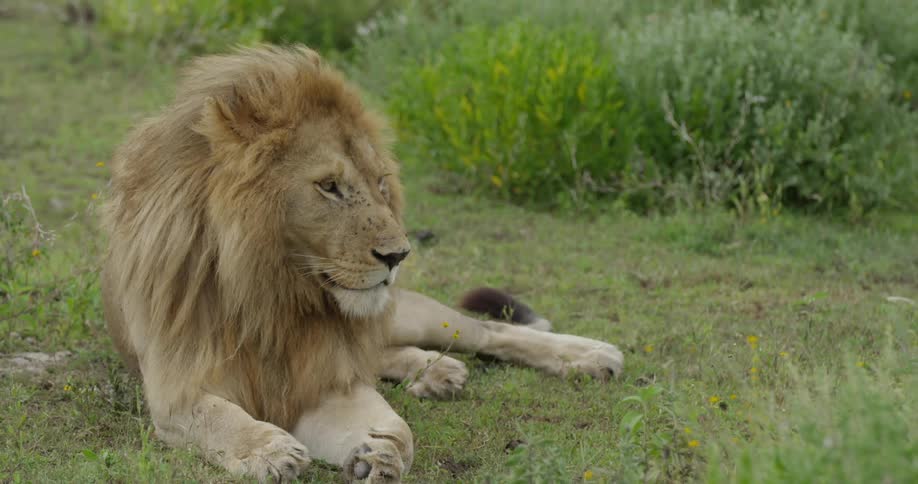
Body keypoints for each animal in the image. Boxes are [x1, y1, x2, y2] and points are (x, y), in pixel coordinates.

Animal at [101, 45, 624, 482]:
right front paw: (269, 450)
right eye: (329, 186)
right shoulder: (177, 391)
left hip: (416, 315)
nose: (398, 255)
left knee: (490, 332)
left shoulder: (325, 383)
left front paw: (381, 451)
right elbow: (220, 417)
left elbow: (398, 428)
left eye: (380, 182)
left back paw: (591, 355)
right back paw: (437, 373)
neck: (273, 293)